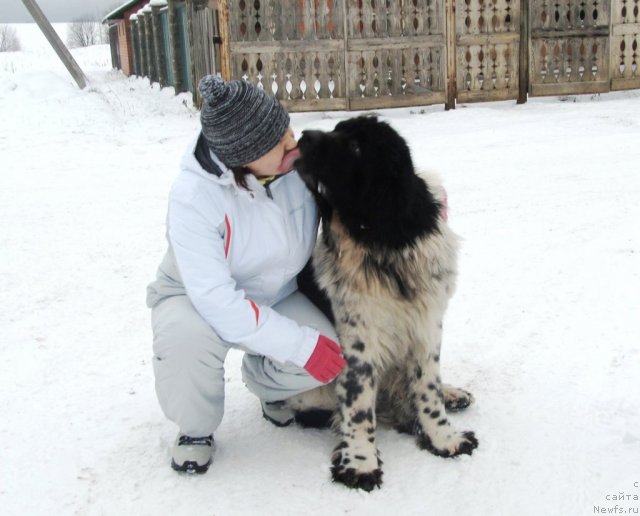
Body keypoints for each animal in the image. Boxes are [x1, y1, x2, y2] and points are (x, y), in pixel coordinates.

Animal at [292, 117, 478, 492]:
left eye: (356, 146)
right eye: (337, 128)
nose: (304, 135)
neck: (381, 244)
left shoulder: (426, 326)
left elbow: (428, 388)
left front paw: (445, 438)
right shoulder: (358, 343)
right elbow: (358, 406)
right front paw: (360, 464)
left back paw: (452, 393)